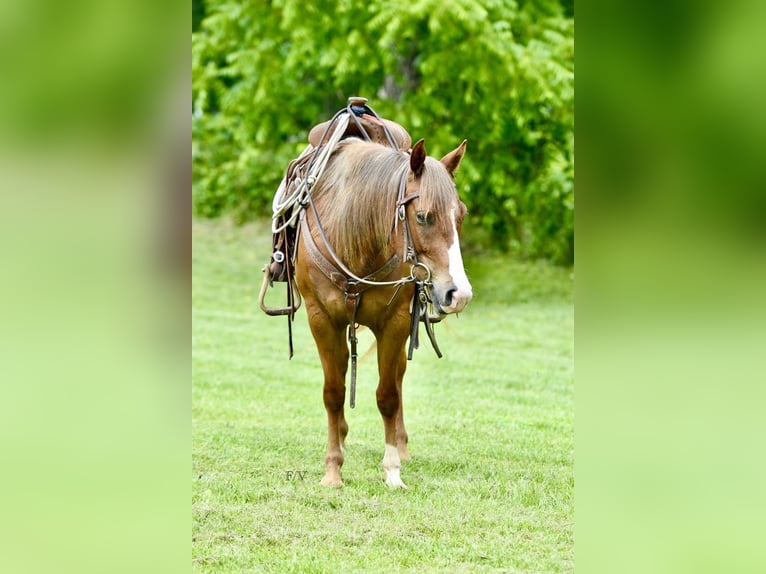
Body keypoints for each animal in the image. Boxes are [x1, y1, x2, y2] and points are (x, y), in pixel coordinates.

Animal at [293, 136, 472, 488]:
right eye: (424, 217)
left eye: (460, 215)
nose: (459, 294)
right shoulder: (320, 319)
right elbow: (333, 393)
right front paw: (333, 470)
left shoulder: (396, 323)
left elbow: (388, 395)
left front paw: (392, 470)